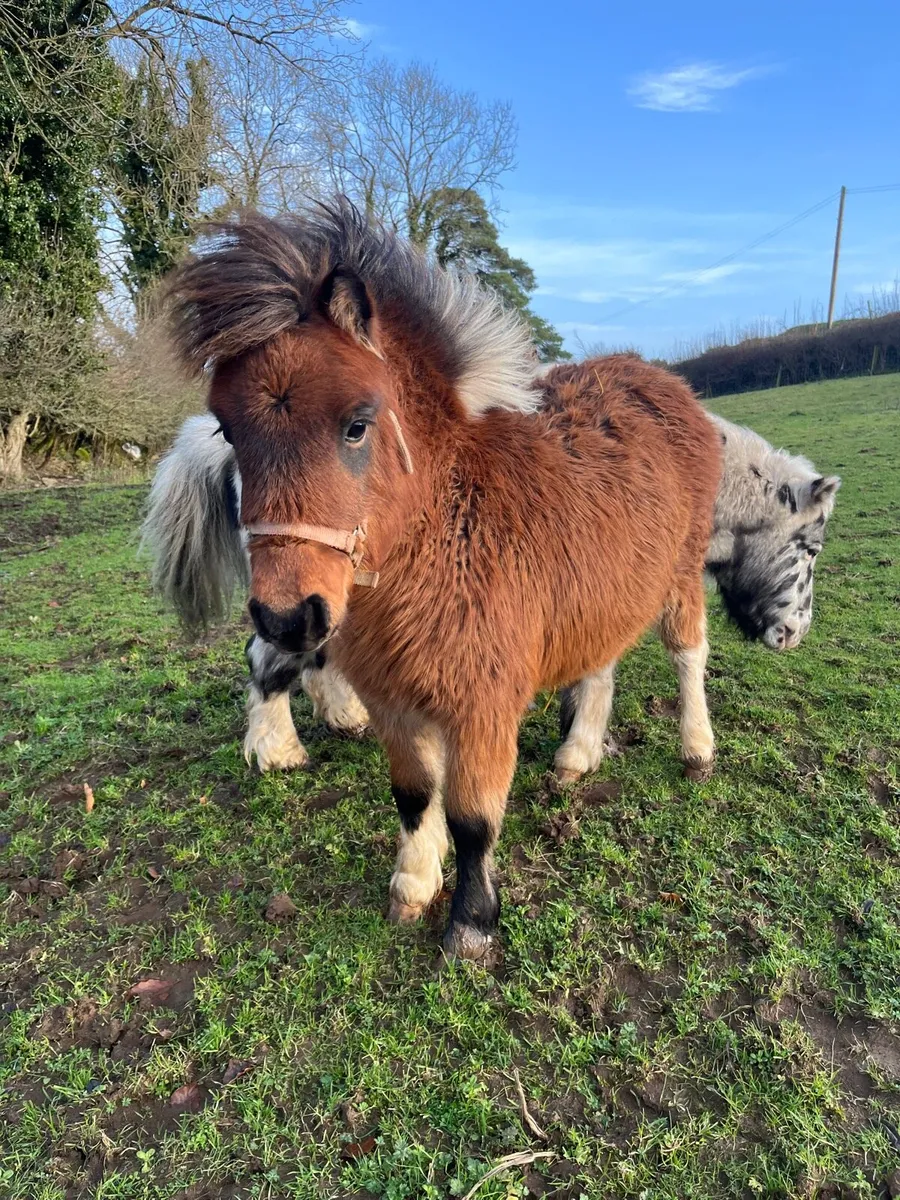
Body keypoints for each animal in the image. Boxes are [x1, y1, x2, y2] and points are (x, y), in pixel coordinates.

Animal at [144, 407, 840, 776]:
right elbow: (666, 657)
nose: (795, 634)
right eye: (811, 548)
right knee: (267, 659)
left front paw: (577, 734)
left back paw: (344, 716)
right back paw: (279, 751)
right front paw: (680, 746)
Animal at [160, 200, 722, 957]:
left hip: (683, 570)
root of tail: (662, 379)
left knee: (688, 654)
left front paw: (471, 923)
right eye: (226, 431)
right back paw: (576, 756)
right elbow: (415, 796)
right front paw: (413, 884)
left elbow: (472, 818)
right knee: (601, 662)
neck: (446, 532)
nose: (287, 618)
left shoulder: (483, 705)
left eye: (357, 425)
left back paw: (697, 749)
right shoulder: (395, 700)